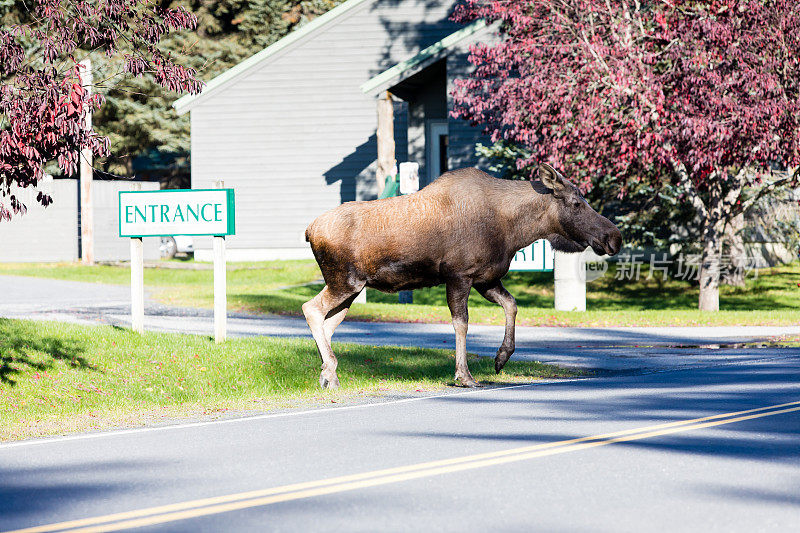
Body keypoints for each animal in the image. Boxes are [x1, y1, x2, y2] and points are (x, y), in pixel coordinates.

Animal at [304, 164, 620, 388]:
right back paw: (330, 370)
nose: (614, 237)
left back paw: (328, 374)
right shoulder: (459, 275)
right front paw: (464, 375)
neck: (515, 230)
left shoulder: (486, 279)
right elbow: (462, 323)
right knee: (311, 309)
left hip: (352, 289)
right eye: (577, 203)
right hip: (344, 281)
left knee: (328, 322)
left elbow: (512, 305)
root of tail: (309, 230)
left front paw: (501, 358)